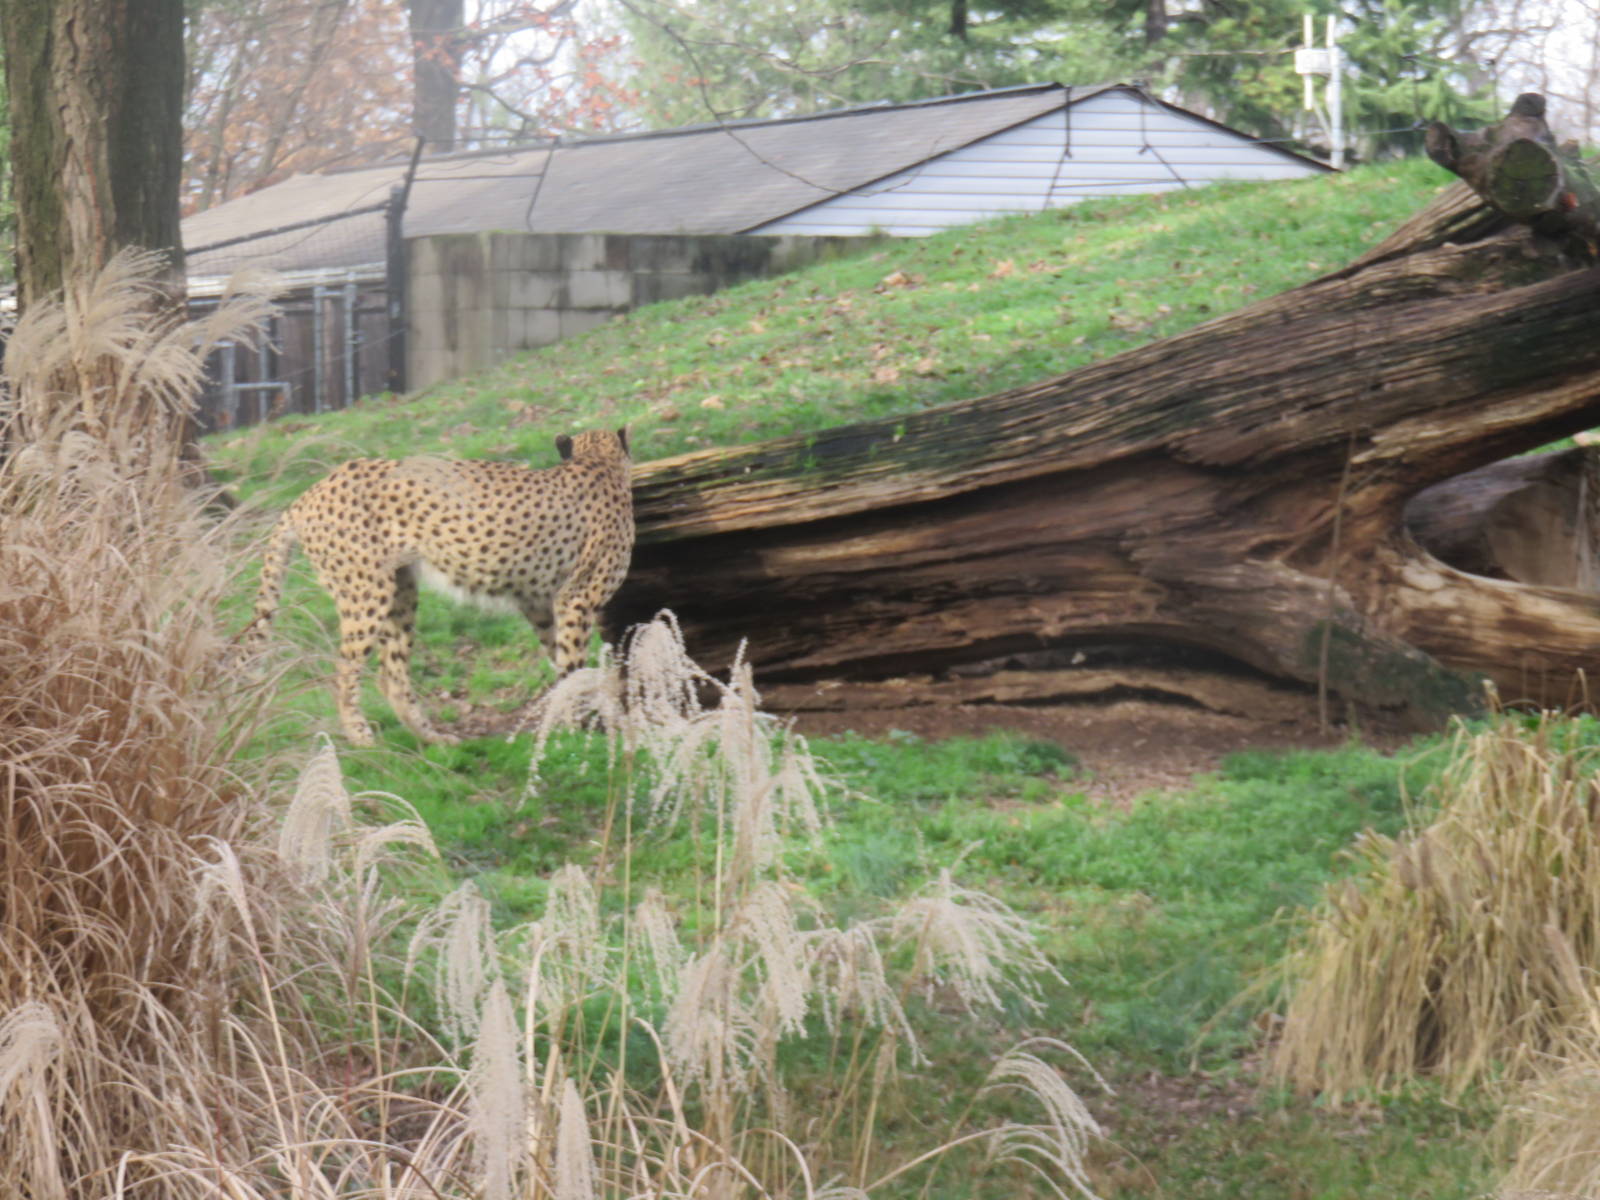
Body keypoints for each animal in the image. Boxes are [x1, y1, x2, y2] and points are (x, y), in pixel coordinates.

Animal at [241, 427, 634, 746]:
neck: (599, 461)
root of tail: (309, 492)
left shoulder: (540, 602)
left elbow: (562, 660)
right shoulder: (576, 598)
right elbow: (573, 665)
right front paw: (580, 731)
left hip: (400, 592)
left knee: (391, 675)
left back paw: (432, 738)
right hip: (367, 594)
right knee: (343, 671)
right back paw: (361, 737)